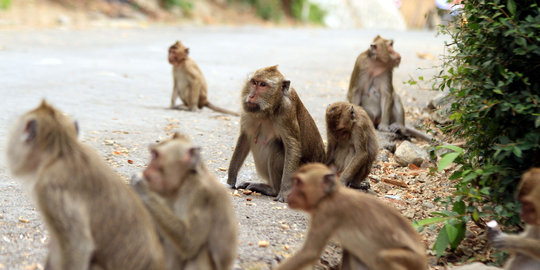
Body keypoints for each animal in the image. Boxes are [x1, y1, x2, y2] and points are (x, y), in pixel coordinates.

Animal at [130, 133, 236, 270]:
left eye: (155, 155)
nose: (146, 170)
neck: (183, 183)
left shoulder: (200, 195)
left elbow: (190, 242)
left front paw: (142, 187)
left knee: (200, 251)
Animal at [225, 65, 322, 200]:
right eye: (254, 82)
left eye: (263, 85)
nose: (251, 96)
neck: (269, 110)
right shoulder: (248, 111)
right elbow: (245, 138)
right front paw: (230, 181)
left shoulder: (286, 111)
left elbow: (293, 146)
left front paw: (284, 192)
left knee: (277, 147)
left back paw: (272, 190)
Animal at [276, 162, 428, 270]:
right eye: (294, 181)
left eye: (298, 183)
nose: (289, 194)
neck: (328, 196)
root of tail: (423, 259)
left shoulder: (327, 213)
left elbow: (309, 253)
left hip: (412, 260)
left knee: (382, 258)